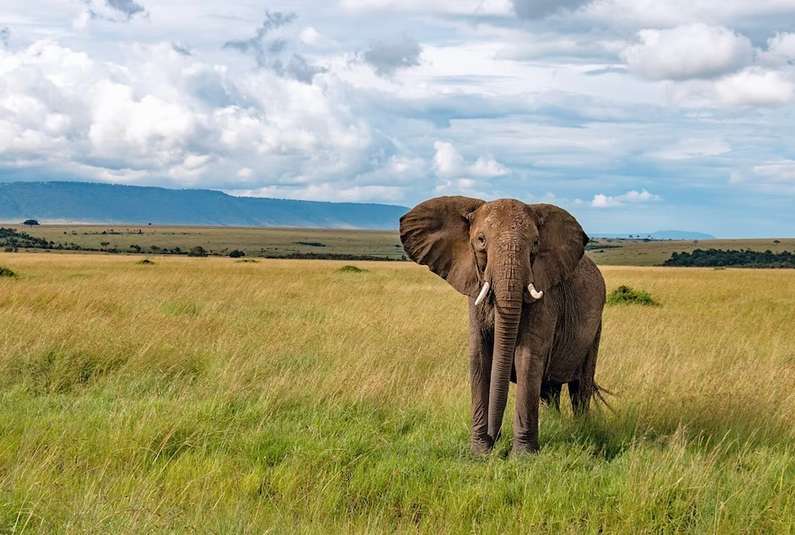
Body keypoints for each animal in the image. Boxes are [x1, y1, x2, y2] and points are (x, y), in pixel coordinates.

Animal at [400, 196, 606, 455]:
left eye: (535, 243)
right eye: (481, 240)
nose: (495, 441)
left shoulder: (546, 295)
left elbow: (527, 358)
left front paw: (523, 456)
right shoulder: (474, 290)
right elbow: (480, 358)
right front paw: (480, 452)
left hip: (596, 328)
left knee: (580, 388)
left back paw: (581, 428)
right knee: (550, 389)